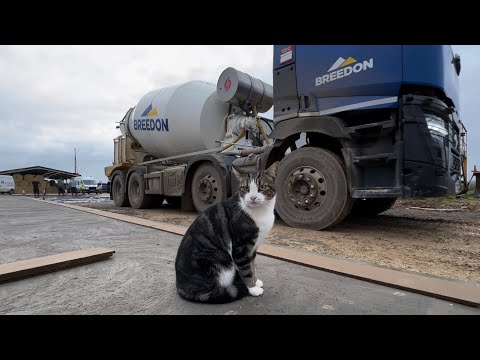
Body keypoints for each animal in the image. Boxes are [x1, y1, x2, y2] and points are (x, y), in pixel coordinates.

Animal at [174, 162, 280, 302]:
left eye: (262, 187)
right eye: (245, 188)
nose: (253, 197)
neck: (261, 212)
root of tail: (181, 286)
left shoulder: (252, 247)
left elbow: (251, 264)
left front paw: (255, 281)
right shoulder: (242, 247)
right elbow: (246, 269)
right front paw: (252, 288)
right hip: (222, 261)